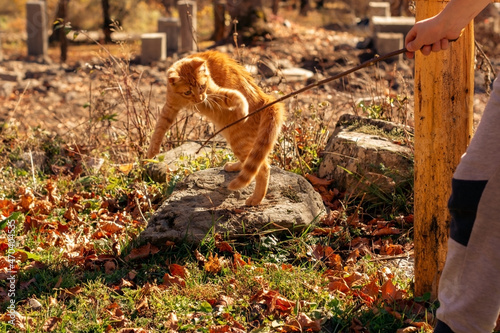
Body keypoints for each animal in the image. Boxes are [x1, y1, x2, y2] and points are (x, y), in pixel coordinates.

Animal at [146, 50, 284, 205]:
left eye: (201, 86)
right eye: (188, 92)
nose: (200, 99)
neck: (188, 101)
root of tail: (266, 99)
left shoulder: (214, 92)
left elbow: (234, 95)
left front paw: (243, 108)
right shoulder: (170, 108)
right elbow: (159, 128)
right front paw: (152, 150)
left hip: (239, 140)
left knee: (263, 168)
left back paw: (256, 199)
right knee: (251, 162)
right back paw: (235, 167)